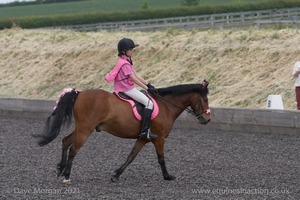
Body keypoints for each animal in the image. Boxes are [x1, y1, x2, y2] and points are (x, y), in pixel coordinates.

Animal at [34, 79, 210, 183]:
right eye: (205, 99)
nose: (207, 120)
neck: (166, 106)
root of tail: (80, 93)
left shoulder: (143, 138)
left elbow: (131, 156)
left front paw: (116, 174)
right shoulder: (159, 138)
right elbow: (161, 159)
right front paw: (167, 176)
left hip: (81, 128)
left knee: (65, 141)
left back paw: (60, 169)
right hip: (85, 129)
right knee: (73, 149)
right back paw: (67, 175)